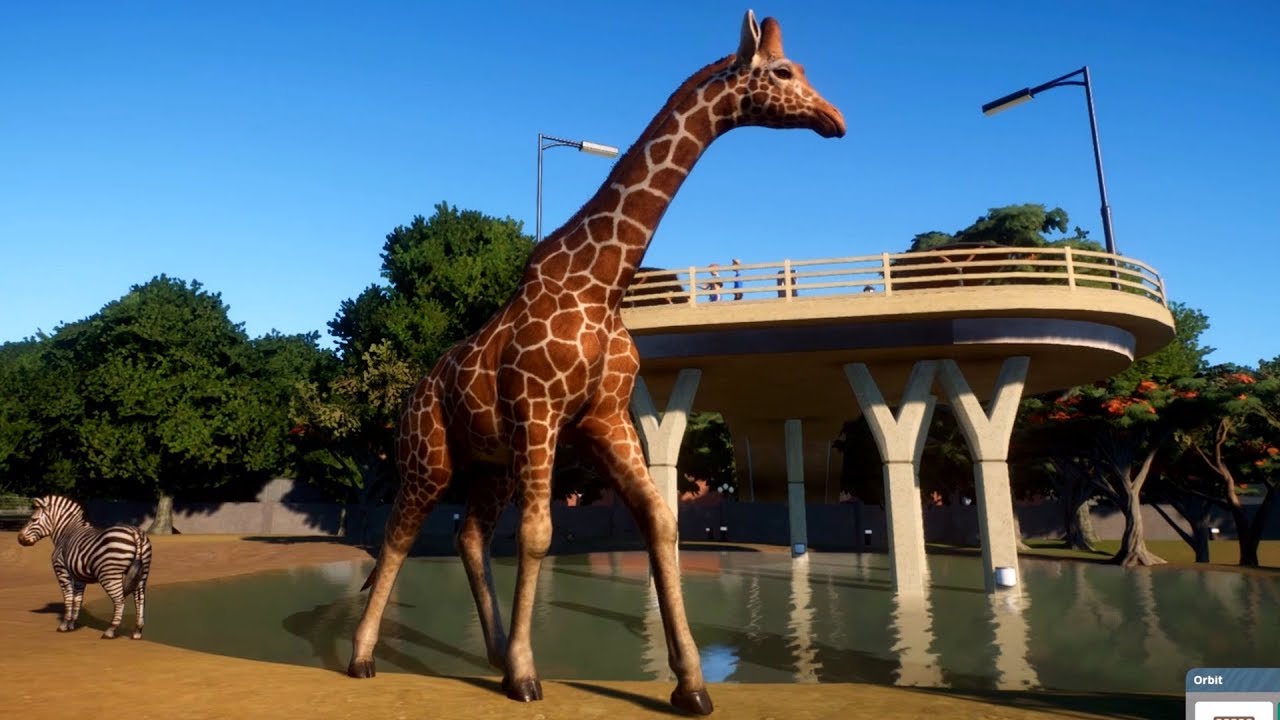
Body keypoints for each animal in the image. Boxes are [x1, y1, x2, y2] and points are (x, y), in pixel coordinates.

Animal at [347, 9, 845, 715]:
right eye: (781, 72)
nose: (836, 118)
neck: (603, 283)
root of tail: (412, 394)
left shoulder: (604, 418)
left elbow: (660, 522)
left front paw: (691, 684)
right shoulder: (539, 411)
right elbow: (538, 535)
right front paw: (528, 676)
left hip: (492, 463)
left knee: (468, 533)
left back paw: (492, 654)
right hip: (430, 456)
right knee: (399, 532)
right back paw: (363, 657)